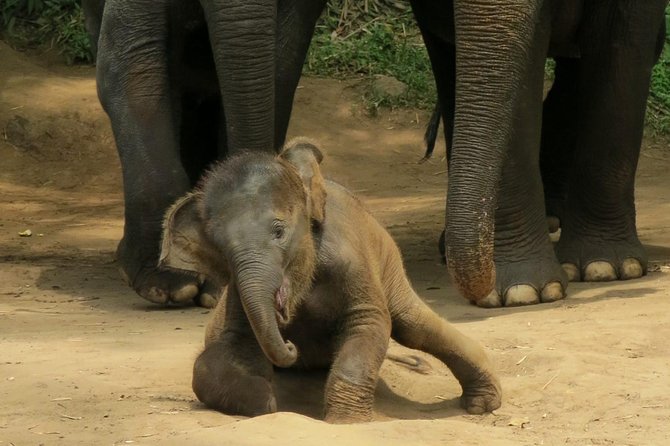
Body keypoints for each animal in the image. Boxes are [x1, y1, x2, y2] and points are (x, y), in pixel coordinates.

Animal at [158, 138, 502, 422]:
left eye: (279, 231)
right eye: (222, 250)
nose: (289, 342)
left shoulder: (351, 260)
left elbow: (368, 323)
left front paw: (345, 421)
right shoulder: (236, 292)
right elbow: (217, 357)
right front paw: (268, 401)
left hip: (390, 264)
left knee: (414, 325)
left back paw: (483, 405)